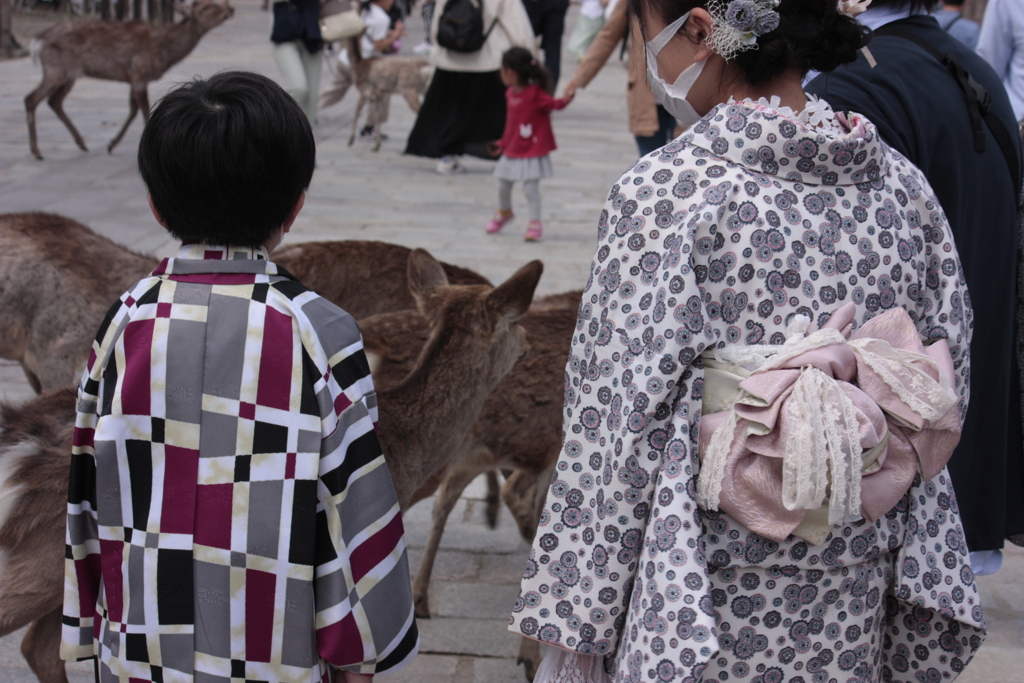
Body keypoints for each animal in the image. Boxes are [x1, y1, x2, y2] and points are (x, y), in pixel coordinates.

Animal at [24, 0, 234, 160]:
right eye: (205, 7)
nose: (230, 9)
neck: (163, 52)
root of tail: (37, 42)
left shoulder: (132, 78)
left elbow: (132, 109)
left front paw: (112, 144)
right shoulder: (140, 73)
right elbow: (143, 109)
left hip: (69, 74)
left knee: (54, 101)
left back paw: (81, 143)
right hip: (56, 69)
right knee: (31, 98)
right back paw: (37, 152)